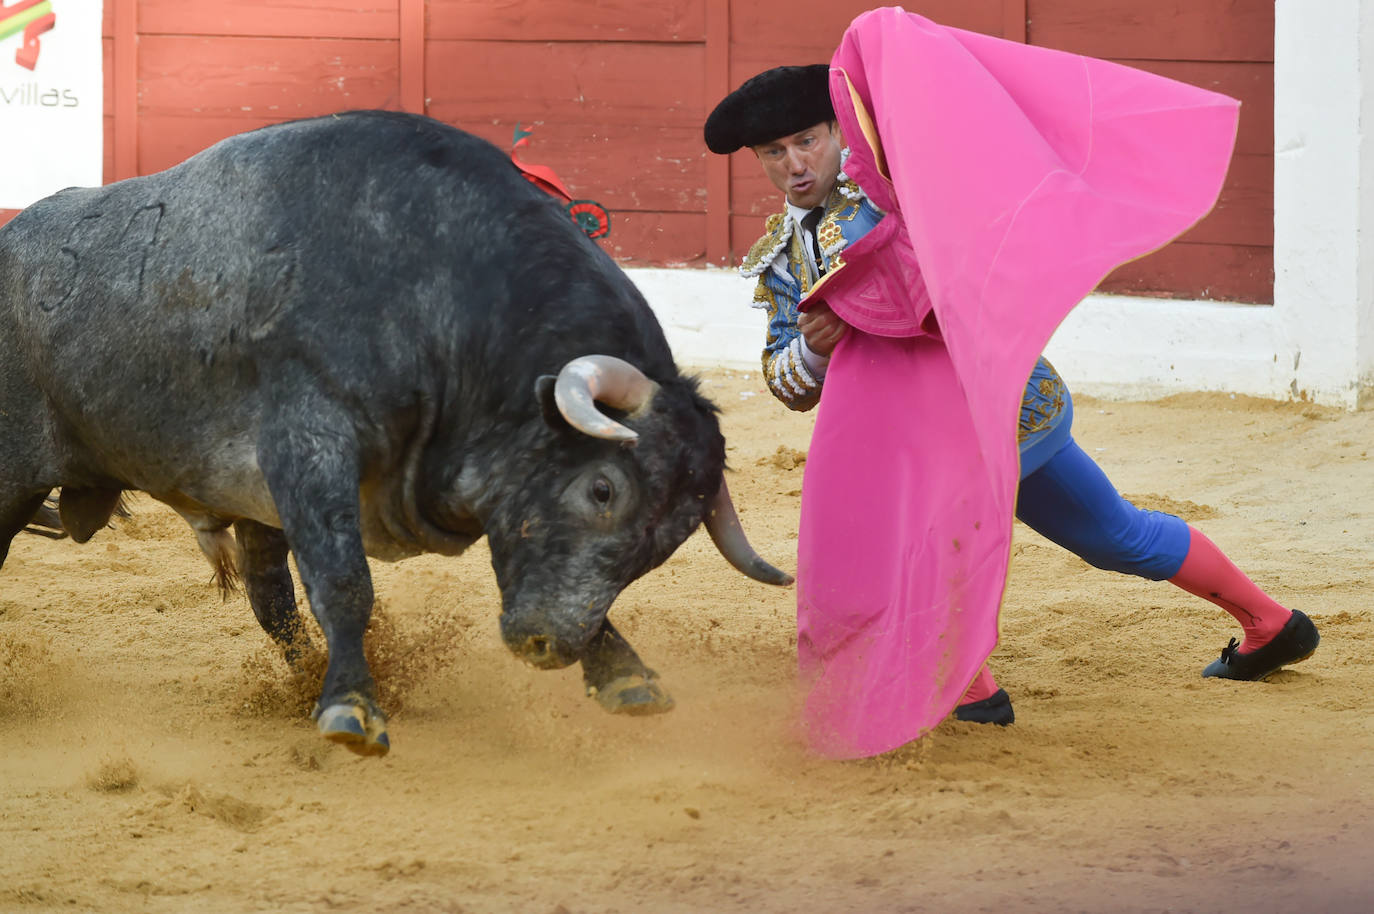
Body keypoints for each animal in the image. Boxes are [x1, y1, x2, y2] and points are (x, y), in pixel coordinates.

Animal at [0, 108, 796, 753]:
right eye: (603, 490)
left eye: (672, 539)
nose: (546, 645)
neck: (436, 295)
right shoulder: (310, 444)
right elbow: (345, 582)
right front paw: (352, 709)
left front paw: (624, 674)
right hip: (17, 479)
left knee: (271, 599)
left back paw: (307, 677)